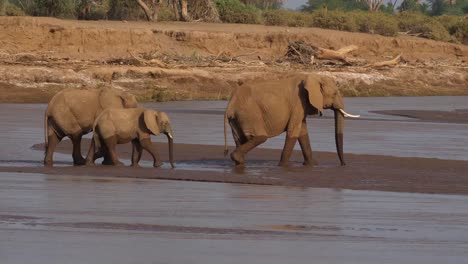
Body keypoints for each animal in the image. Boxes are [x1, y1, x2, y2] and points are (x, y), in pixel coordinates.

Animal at [223, 72, 358, 167]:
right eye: (334, 94)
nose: (343, 164)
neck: (312, 76)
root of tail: (231, 103)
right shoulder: (298, 103)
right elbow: (294, 131)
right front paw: (283, 166)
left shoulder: (302, 106)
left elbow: (302, 131)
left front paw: (312, 164)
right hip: (250, 114)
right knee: (260, 137)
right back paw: (237, 158)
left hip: (237, 119)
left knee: (240, 139)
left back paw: (239, 162)